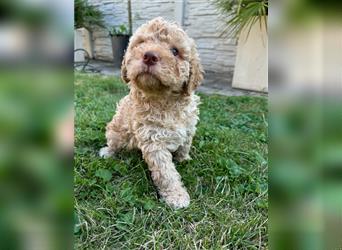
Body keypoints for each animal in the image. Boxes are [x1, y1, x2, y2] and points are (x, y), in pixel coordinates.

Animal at [100, 17, 204, 208]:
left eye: (175, 51)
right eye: (141, 43)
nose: (149, 56)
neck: (166, 101)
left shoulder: (189, 127)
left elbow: (185, 144)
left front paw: (183, 158)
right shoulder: (154, 140)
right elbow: (166, 173)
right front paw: (176, 196)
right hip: (116, 132)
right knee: (113, 142)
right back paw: (108, 152)